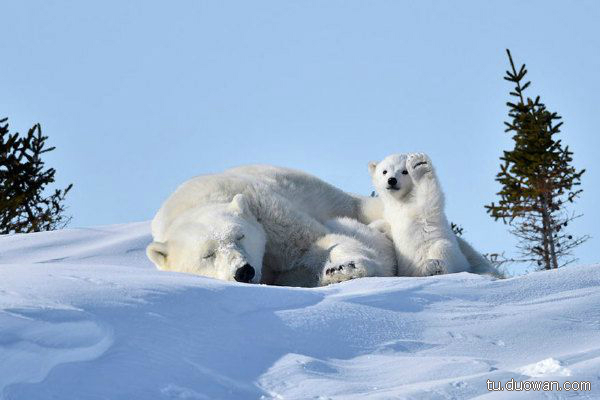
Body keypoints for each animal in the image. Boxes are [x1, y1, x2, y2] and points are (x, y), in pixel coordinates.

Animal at [148, 164, 394, 286]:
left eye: (240, 235)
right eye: (207, 254)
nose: (243, 271)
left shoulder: (266, 212)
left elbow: (316, 242)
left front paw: (345, 268)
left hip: (342, 200)